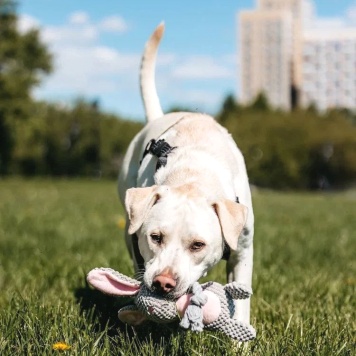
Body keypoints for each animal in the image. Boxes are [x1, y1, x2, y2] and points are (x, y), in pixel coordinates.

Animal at [117, 21, 253, 322]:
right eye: (155, 237)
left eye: (198, 245)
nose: (163, 283)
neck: (194, 176)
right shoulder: (137, 242)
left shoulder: (243, 250)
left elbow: (242, 294)